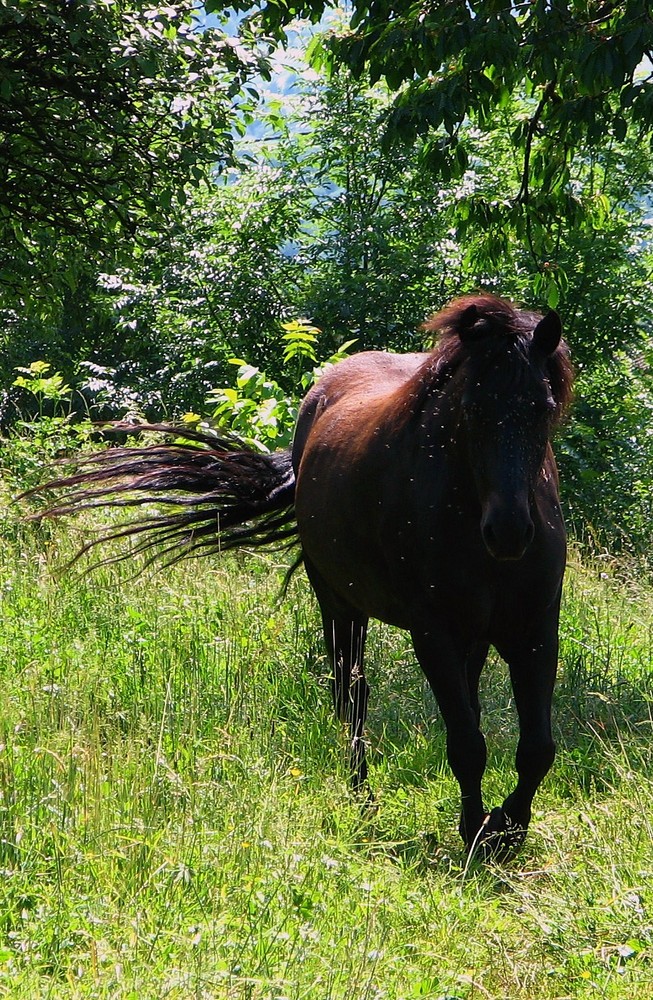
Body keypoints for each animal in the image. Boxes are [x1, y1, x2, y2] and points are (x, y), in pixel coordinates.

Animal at [31, 292, 572, 856]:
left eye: (542, 407)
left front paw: (505, 826)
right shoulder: (434, 635)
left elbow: (535, 748)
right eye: (471, 409)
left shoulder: (534, 633)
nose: (509, 531)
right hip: (339, 605)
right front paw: (478, 830)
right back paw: (362, 797)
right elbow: (466, 743)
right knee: (352, 701)